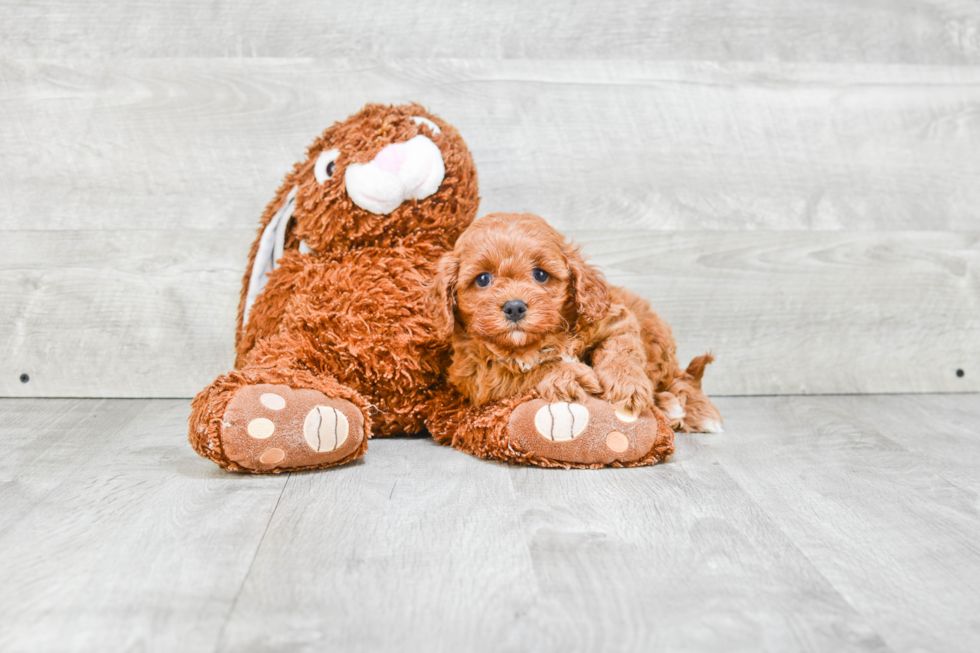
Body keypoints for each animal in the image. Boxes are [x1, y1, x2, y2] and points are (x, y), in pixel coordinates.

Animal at [432, 211, 724, 432]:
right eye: (483, 279)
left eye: (540, 275)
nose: (514, 307)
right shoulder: (478, 375)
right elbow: (522, 371)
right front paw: (570, 374)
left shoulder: (616, 321)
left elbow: (619, 350)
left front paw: (627, 385)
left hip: (659, 345)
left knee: (679, 379)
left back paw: (688, 409)